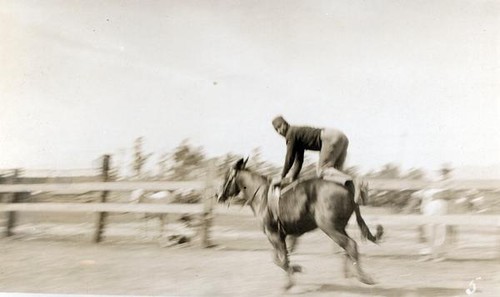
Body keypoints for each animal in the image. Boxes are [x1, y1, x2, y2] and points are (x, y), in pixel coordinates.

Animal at [215, 157, 382, 290]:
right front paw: (295, 269)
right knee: (347, 248)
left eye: (227, 176)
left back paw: (364, 278)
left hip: (330, 227)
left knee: (350, 245)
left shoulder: (273, 234)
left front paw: (290, 279)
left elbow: (281, 259)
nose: (218, 195)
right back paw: (350, 275)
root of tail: (349, 190)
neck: (262, 196)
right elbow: (279, 258)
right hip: (339, 227)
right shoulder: (280, 236)